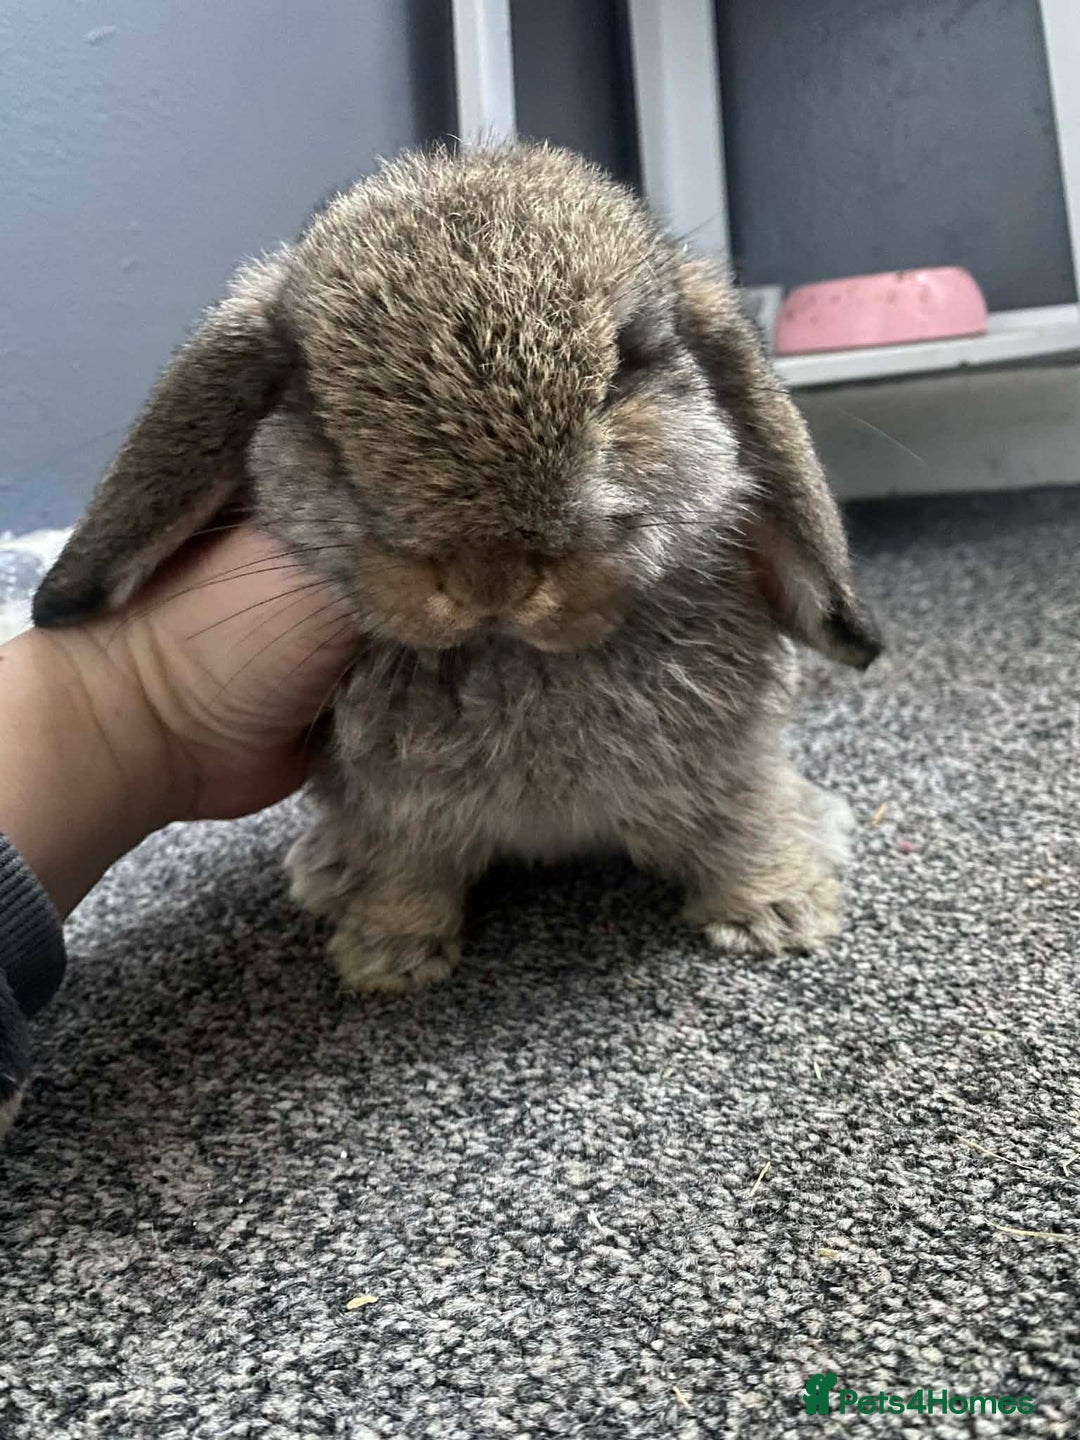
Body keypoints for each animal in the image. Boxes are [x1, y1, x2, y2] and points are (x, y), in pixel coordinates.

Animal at [34, 143, 881, 993]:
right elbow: (407, 872)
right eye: (312, 395)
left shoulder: (729, 770)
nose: (489, 577)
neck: (511, 654)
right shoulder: (399, 812)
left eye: (628, 365)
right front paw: (386, 959)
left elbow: (741, 827)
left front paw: (776, 914)